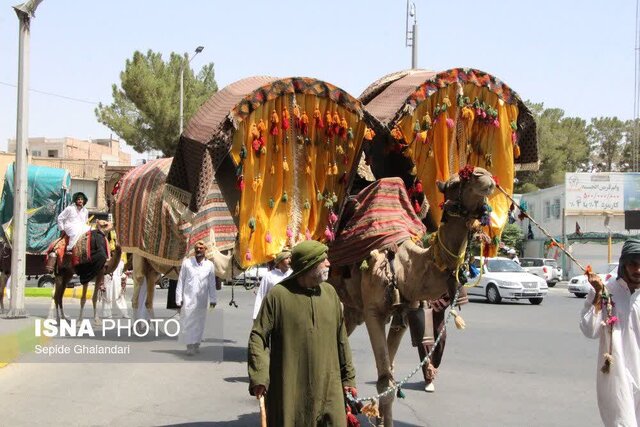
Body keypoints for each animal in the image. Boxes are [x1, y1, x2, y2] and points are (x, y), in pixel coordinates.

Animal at [330, 166, 496, 426]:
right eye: (456, 182)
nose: (484, 177)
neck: (402, 267)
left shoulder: (403, 315)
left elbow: (388, 379)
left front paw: (380, 419)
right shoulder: (374, 312)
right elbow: (385, 382)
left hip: (352, 309)